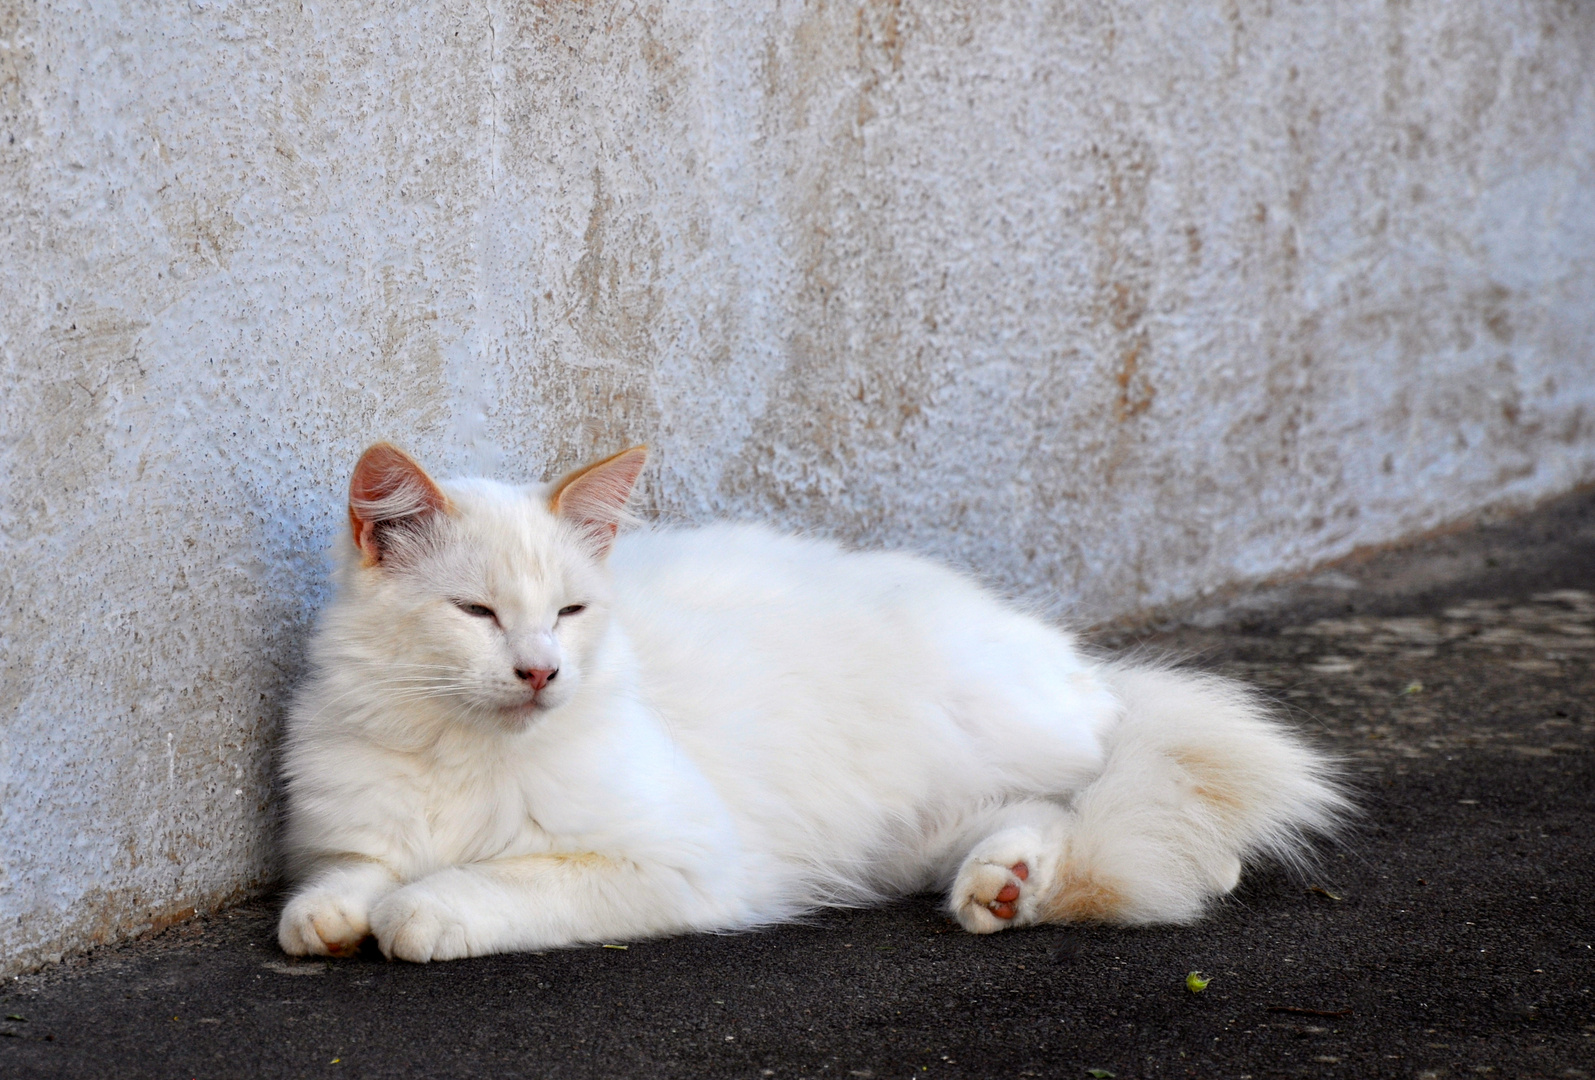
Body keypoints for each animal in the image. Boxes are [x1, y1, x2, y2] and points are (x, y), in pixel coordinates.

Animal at [277, 443, 1346, 963]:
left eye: (569, 614)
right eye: (477, 613)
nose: (541, 673)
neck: (460, 750)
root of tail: (1075, 660)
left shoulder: (675, 861)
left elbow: (487, 882)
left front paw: (420, 914)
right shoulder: (355, 836)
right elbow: (346, 881)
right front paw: (331, 920)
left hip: (1019, 736)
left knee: (1124, 785)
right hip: (902, 831)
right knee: (1042, 815)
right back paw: (1001, 887)